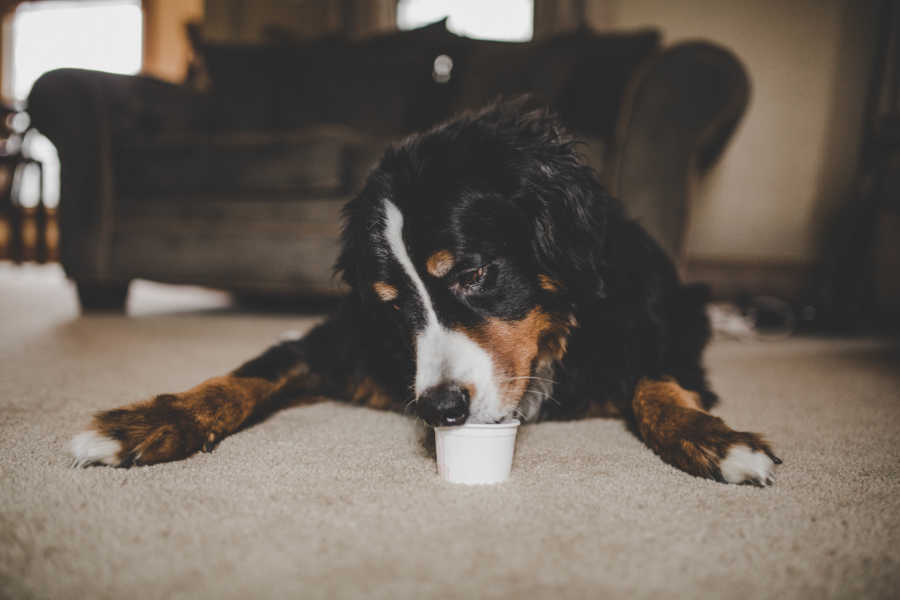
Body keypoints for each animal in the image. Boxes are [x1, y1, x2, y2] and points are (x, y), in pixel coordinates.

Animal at [68, 103, 780, 486]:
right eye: (392, 302)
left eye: (472, 274)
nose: (441, 409)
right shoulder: (340, 343)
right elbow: (243, 375)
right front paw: (149, 422)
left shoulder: (650, 338)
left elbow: (656, 385)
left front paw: (714, 439)